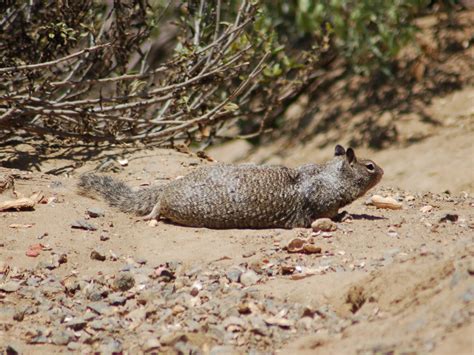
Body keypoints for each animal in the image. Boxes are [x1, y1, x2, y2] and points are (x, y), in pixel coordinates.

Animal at [77, 146, 382, 229]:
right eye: (369, 166)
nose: (382, 171)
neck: (329, 176)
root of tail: (171, 185)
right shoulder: (320, 204)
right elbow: (328, 215)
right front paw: (345, 215)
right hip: (173, 203)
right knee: (160, 205)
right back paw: (151, 214)